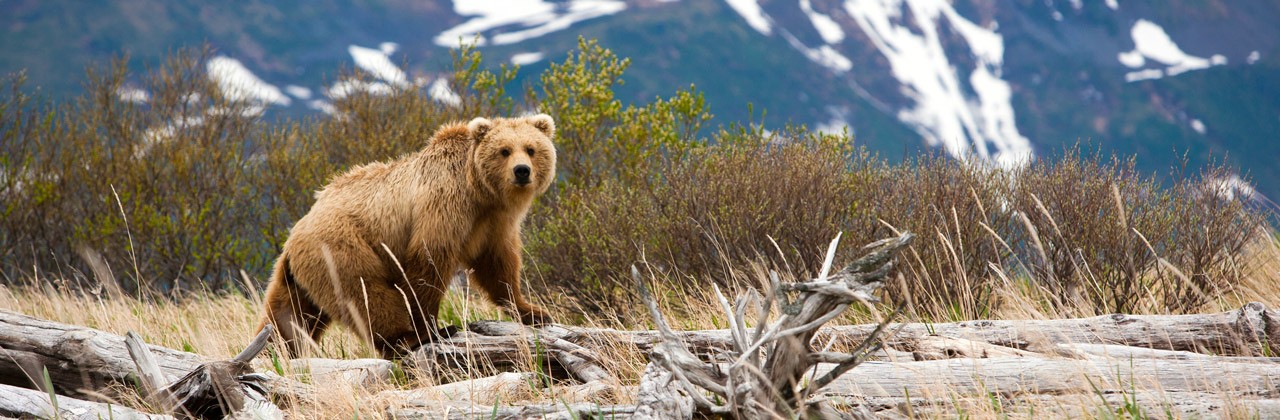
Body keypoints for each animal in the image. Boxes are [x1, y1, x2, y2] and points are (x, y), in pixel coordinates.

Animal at [258, 113, 555, 358]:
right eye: (504, 151)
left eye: (531, 149)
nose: (521, 171)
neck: (480, 192)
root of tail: (296, 231)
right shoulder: (443, 205)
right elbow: (427, 265)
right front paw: (429, 327)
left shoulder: (494, 225)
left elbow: (499, 267)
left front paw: (533, 312)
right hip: (339, 248)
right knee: (364, 292)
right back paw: (405, 338)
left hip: (297, 274)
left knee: (288, 314)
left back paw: (274, 350)